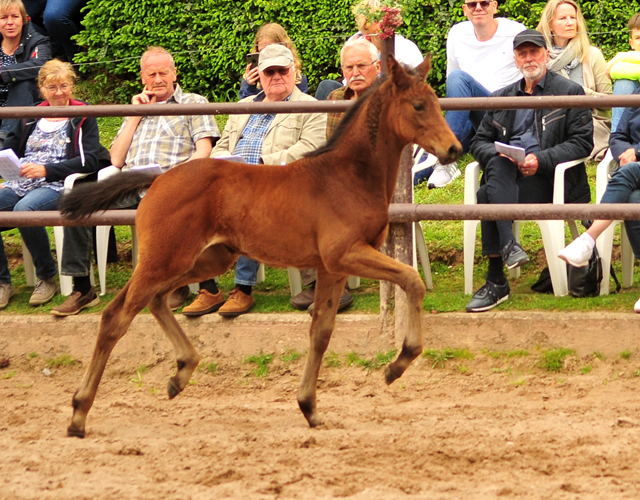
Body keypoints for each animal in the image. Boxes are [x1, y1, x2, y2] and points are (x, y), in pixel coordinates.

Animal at [62, 56, 460, 436]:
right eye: (419, 105)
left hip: (203, 260)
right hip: (164, 260)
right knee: (116, 317)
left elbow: (321, 332)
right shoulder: (346, 253)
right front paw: (397, 365)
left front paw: (309, 407)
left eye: (435, 102)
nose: (454, 149)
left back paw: (181, 373)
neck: (347, 177)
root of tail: (157, 179)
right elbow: (411, 280)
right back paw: (79, 413)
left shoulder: (332, 267)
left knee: (155, 300)